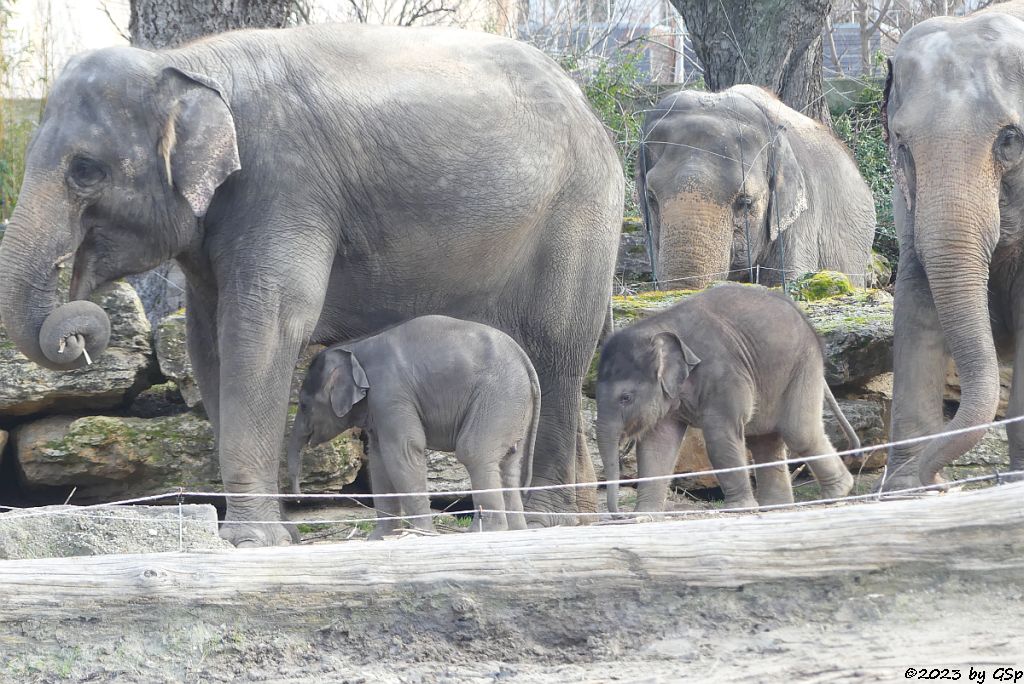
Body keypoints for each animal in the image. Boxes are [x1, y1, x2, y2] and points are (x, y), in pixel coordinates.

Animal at [288, 313, 540, 536]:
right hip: (513, 407)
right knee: (509, 464)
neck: (355, 348)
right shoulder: (377, 408)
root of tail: (525, 360)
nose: (299, 498)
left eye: (303, 405)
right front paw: (380, 538)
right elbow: (379, 461)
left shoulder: (390, 393)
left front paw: (422, 534)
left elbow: (404, 451)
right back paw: (516, 531)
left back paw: (484, 531)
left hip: (497, 397)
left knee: (473, 452)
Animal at [598, 282, 860, 511]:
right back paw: (776, 507)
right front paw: (643, 515)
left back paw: (836, 493)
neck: (657, 326)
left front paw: (738, 509)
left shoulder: (724, 375)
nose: (619, 514)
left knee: (798, 433)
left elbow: (719, 436)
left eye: (625, 398)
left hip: (802, 365)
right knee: (765, 439)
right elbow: (657, 444)